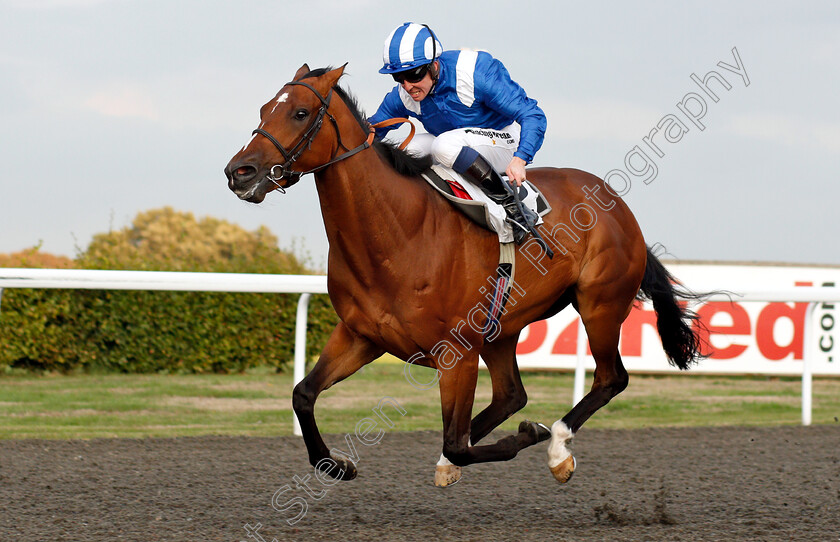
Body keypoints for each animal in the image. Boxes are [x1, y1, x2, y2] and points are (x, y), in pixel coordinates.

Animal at [223, 65, 704, 488]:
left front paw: (530, 435)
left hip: (599, 304)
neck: (398, 231)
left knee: (609, 379)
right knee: (512, 394)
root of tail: (618, 205)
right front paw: (337, 465)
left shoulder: (456, 353)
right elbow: (303, 395)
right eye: (265, 109)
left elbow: (457, 442)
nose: (239, 172)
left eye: (300, 113)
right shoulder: (361, 335)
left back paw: (557, 448)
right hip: (502, 327)